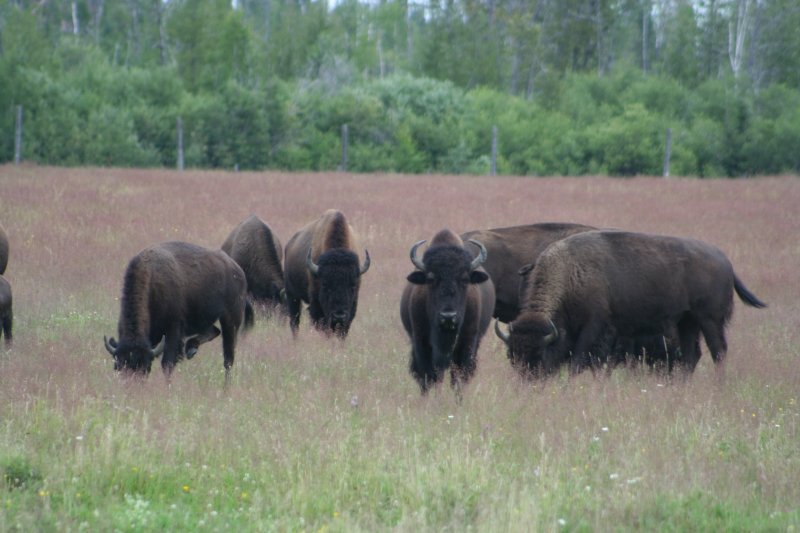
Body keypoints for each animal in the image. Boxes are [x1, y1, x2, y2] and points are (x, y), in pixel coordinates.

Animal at [102, 241, 253, 378]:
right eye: (118, 367)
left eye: (145, 368)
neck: (151, 279)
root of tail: (238, 270)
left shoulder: (172, 330)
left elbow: (167, 363)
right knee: (214, 331)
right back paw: (191, 348)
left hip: (231, 321)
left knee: (228, 360)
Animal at [400, 229, 494, 394]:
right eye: (431, 279)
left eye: (465, 279)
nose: (448, 316)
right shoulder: (421, 343)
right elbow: (428, 377)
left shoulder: (467, 344)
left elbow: (458, 379)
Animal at [496, 231, 764, 376]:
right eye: (512, 355)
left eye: (539, 354)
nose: (528, 382)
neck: (572, 272)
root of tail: (725, 261)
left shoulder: (593, 327)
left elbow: (579, 361)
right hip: (687, 322)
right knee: (691, 356)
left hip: (709, 320)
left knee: (718, 352)